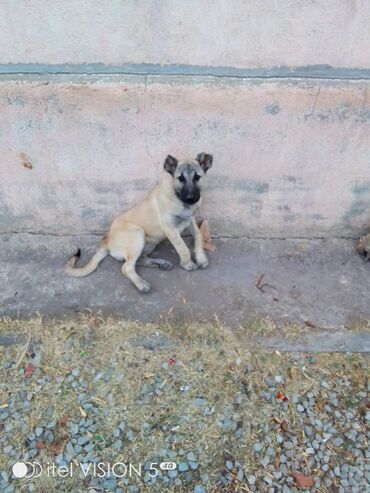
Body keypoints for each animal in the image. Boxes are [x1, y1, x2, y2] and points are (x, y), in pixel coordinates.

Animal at [65, 153, 212, 292]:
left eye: (197, 177)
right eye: (180, 178)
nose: (191, 198)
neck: (179, 199)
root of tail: (107, 240)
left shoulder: (190, 220)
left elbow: (198, 236)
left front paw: (201, 258)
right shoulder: (170, 228)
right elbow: (183, 248)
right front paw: (187, 264)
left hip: (149, 243)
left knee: (138, 260)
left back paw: (160, 264)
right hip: (137, 234)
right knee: (126, 267)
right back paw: (141, 284)